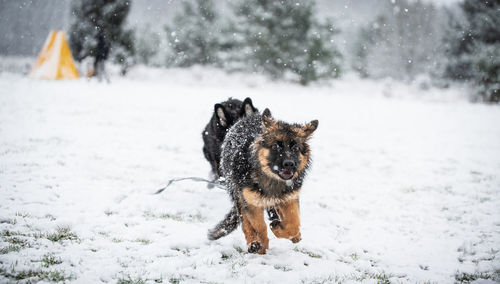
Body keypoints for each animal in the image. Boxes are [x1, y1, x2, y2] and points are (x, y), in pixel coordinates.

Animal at [208, 107, 318, 254]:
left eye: (295, 148)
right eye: (276, 146)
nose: (289, 164)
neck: (271, 178)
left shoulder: (290, 198)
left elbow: (294, 223)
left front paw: (282, 230)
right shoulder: (250, 202)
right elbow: (259, 226)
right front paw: (262, 245)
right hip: (238, 194)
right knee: (245, 222)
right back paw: (253, 242)